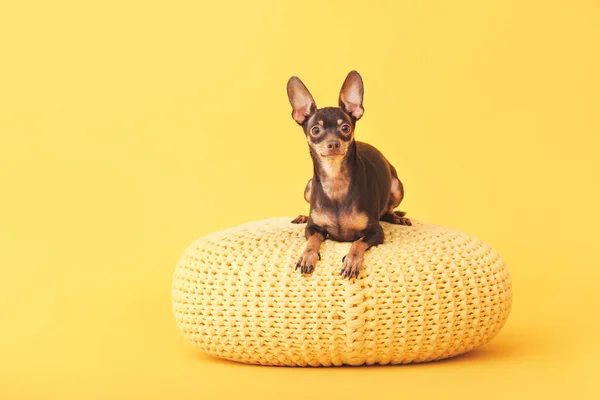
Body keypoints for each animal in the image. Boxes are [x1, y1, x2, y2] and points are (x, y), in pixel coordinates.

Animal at [288, 71, 410, 278]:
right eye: (315, 130)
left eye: (345, 128)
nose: (333, 143)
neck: (335, 179)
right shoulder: (312, 229)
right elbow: (313, 240)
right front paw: (307, 256)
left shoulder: (376, 232)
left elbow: (358, 243)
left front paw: (352, 261)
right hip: (309, 186)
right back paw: (303, 216)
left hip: (397, 186)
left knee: (389, 211)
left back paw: (398, 218)